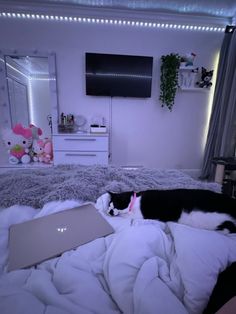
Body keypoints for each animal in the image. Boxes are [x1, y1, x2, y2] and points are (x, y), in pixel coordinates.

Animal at [108, 189, 236, 233]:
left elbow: (126, 216)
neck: (134, 200)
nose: (109, 211)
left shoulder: (139, 215)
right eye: (109, 206)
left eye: (115, 205)